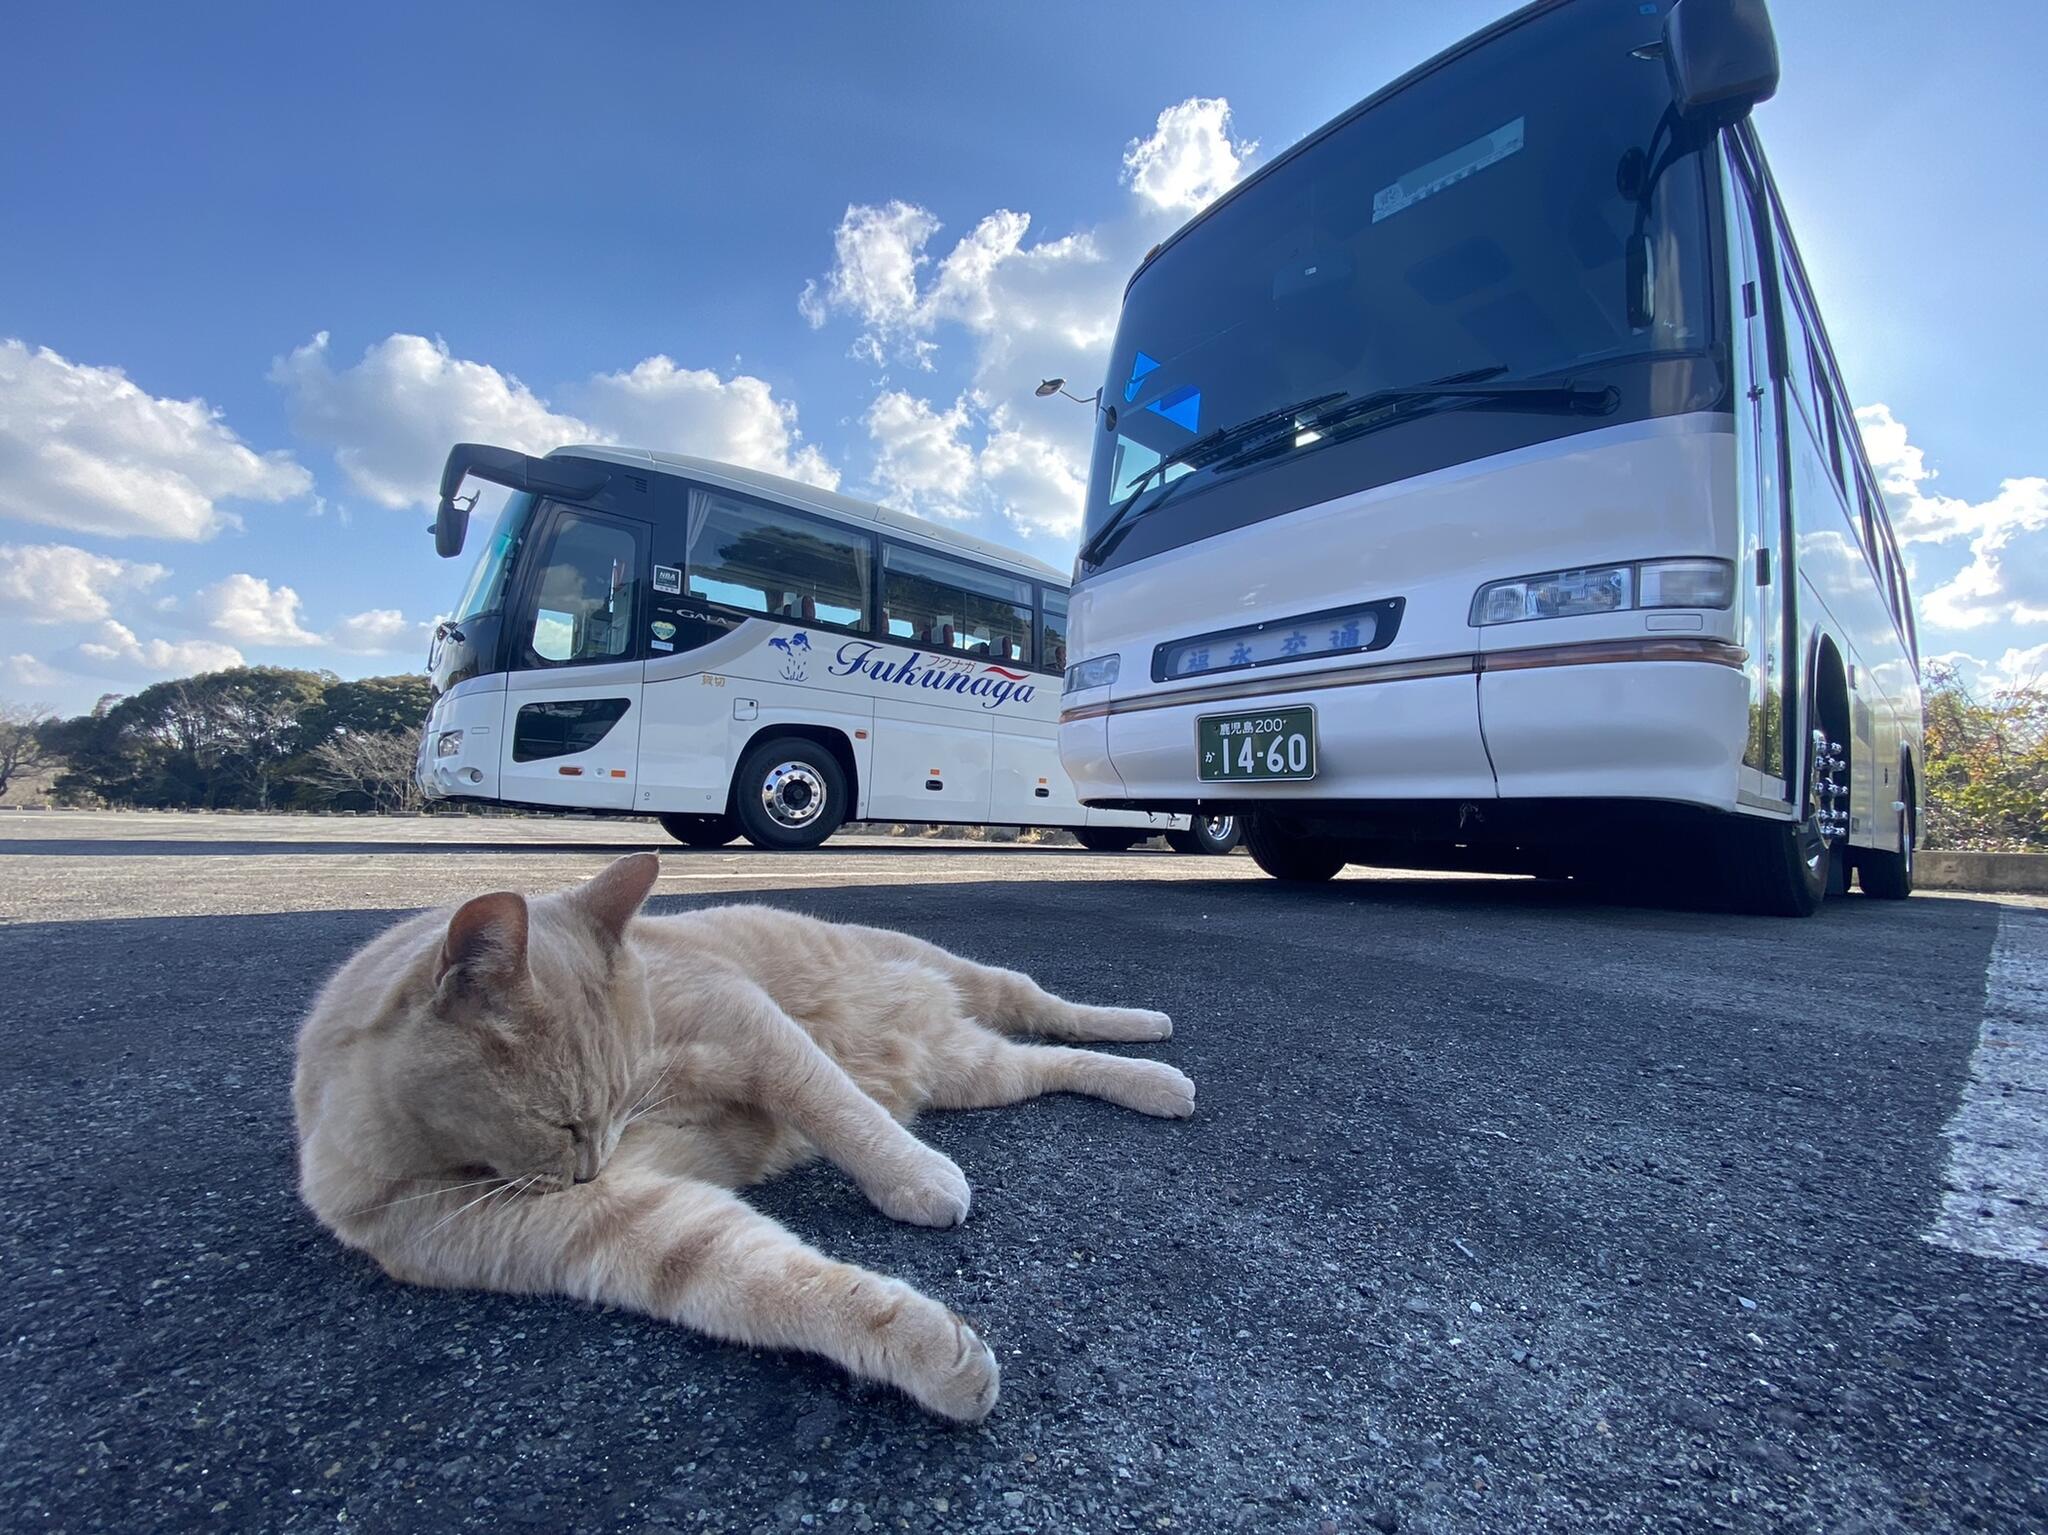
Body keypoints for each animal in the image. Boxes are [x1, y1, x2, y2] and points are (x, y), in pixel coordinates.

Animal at [288, 855, 1187, 1416]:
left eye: (607, 1108)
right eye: (565, 1123)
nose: (591, 1166)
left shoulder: (740, 1019)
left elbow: (831, 1099)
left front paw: (914, 1176)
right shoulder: (624, 1228)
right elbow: (767, 1283)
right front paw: (927, 1352)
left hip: (961, 974)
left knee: (1048, 1003)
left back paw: (1149, 1029)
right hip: (974, 1069)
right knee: (1051, 1061)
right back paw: (1153, 1083)